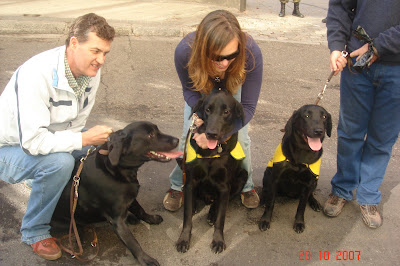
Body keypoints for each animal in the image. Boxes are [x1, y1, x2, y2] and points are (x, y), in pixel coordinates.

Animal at [50, 121, 182, 264]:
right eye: (150, 135)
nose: (177, 140)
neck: (117, 169)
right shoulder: (117, 220)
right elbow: (132, 242)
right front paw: (145, 259)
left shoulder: (131, 197)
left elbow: (140, 210)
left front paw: (151, 218)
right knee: (77, 226)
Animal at [177, 91, 248, 254]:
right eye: (208, 110)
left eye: (226, 111)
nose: (211, 134)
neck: (212, 151)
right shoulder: (190, 181)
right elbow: (187, 217)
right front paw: (184, 239)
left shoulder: (224, 186)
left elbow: (221, 220)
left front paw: (218, 241)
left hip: (243, 175)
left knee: (220, 202)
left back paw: (212, 213)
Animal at [260, 105, 332, 234]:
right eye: (306, 115)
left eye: (324, 116)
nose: (319, 131)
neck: (302, 154)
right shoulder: (275, 178)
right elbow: (270, 203)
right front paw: (265, 220)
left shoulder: (308, 183)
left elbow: (301, 207)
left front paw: (299, 223)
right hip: (267, 173)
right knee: (266, 190)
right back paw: (263, 199)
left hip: (315, 181)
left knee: (310, 194)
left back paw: (314, 203)